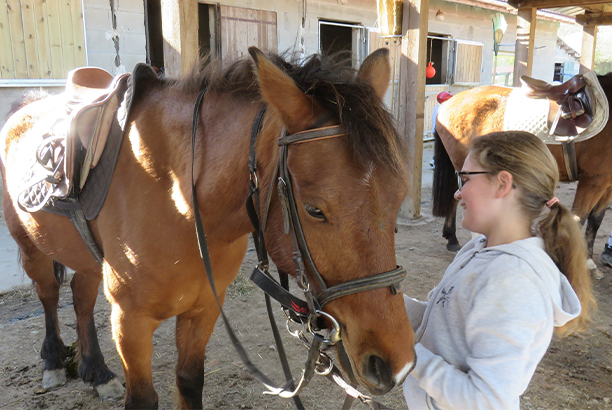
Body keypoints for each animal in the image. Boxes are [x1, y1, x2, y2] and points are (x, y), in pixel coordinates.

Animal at [0, 48, 416, 410]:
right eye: (315, 210)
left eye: (399, 197)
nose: (397, 364)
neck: (178, 200)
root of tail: (27, 104)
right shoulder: (130, 321)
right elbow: (143, 399)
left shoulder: (203, 310)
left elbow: (189, 382)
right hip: (32, 249)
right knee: (49, 294)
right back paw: (54, 362)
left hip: (84, 257)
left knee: (81, 297)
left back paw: (96, 372)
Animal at [432, 74, 612, 276]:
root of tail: (448, 102)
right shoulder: (594, 180)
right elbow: (579, 219)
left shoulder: (607, 182)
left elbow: (596, 219)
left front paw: (589, 262)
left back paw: (452, 238)